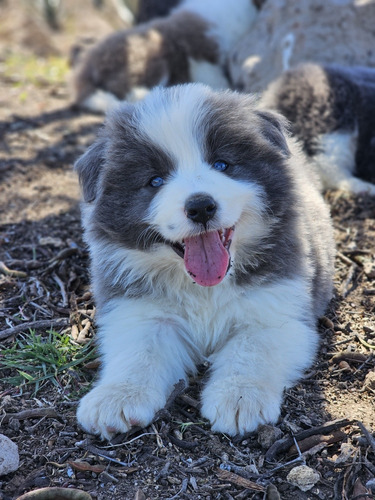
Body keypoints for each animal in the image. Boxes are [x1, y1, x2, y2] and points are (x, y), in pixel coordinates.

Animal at [74, 84, 334, 440]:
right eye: (155, 181)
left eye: (222, 164)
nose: (200, 206)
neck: (204, 287)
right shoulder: (140, 311)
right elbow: (138, 352)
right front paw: (117, 397)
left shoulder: (278, 310)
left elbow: (252, 349)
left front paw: (240, 397)